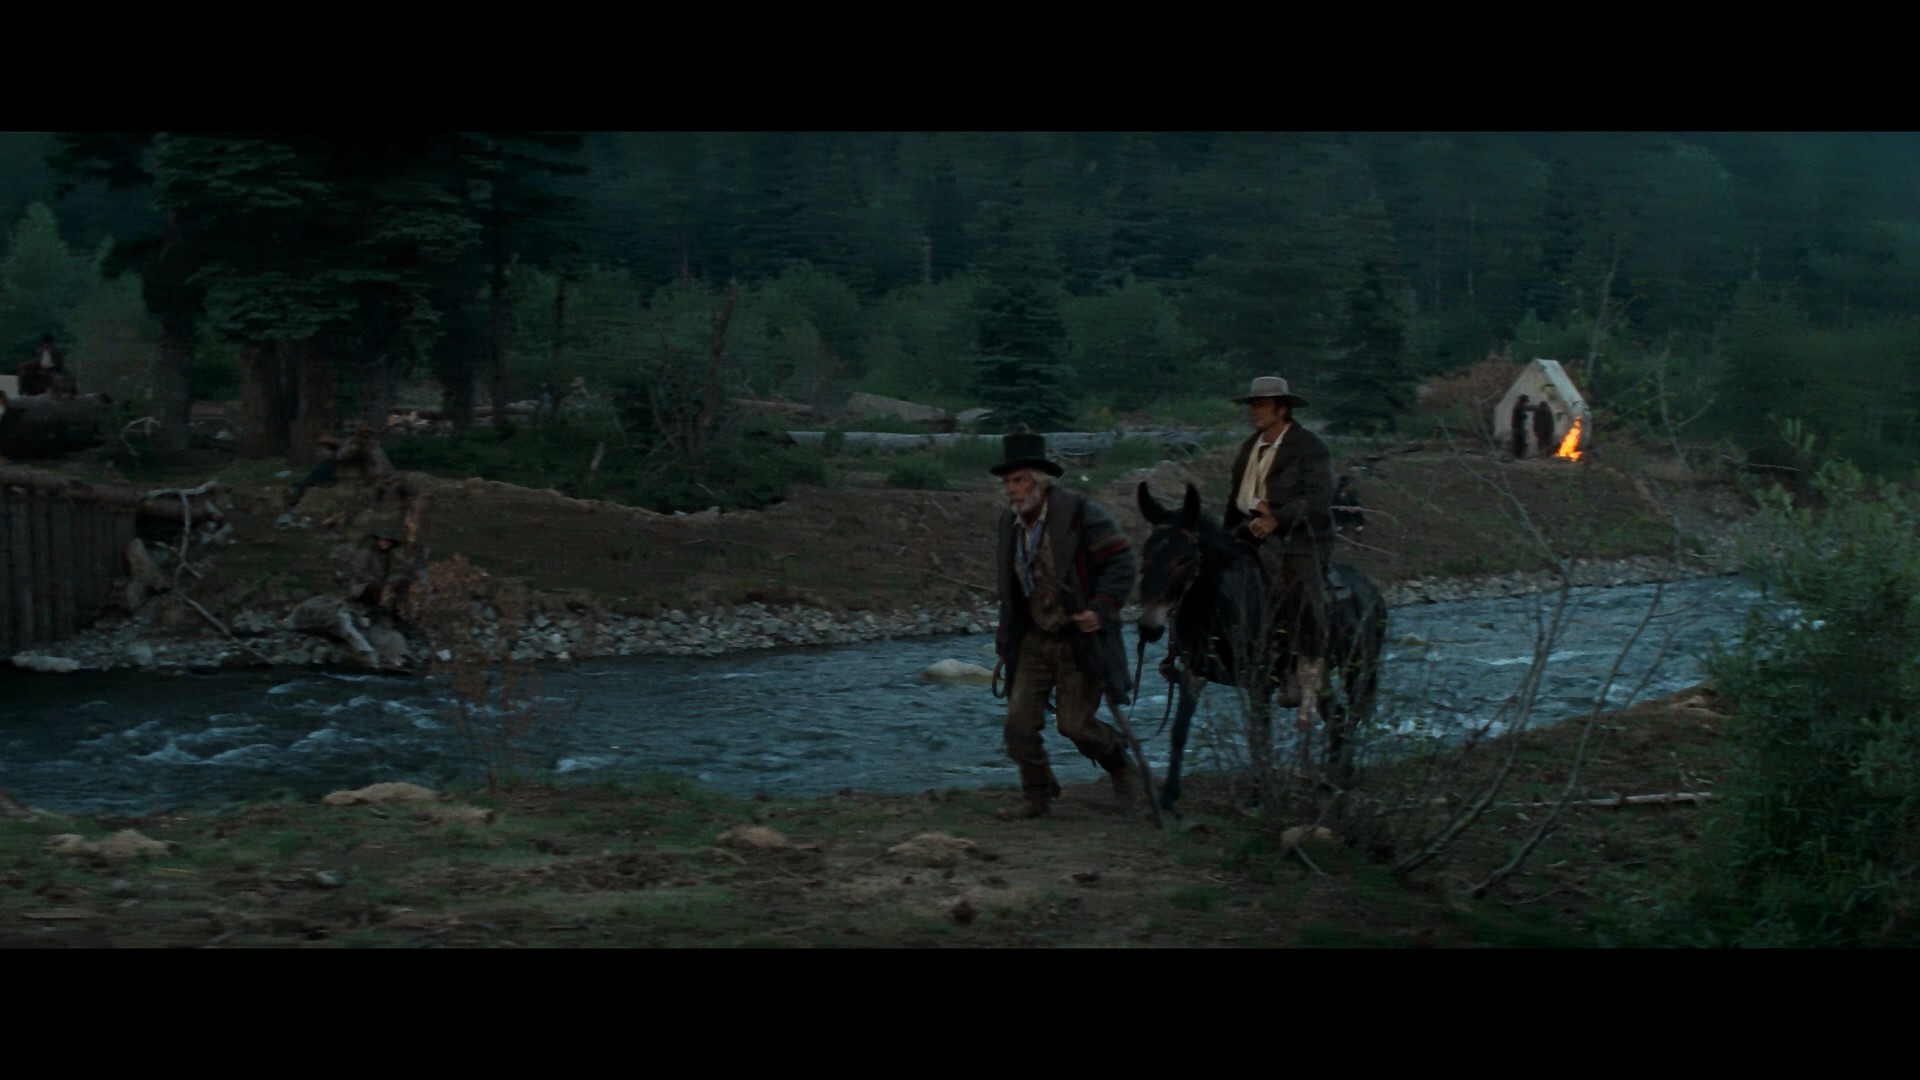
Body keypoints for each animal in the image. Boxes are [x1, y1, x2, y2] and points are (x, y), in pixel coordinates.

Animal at [1134, 482, 1389, 813]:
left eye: (1184, 559)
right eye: (1146, 554)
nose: (1148, 628)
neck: (1219, 603)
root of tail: (1373, 592)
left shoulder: (1261, 682)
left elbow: (1259, 735)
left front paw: (1258, 797)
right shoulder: (1193, 673)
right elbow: (1179, 729)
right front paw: (1167, 796)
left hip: (1357, 668)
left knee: (1355, 713)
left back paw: (1341, 774)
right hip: (1321, 675)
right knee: (1338, 719)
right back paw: (1330, 780)